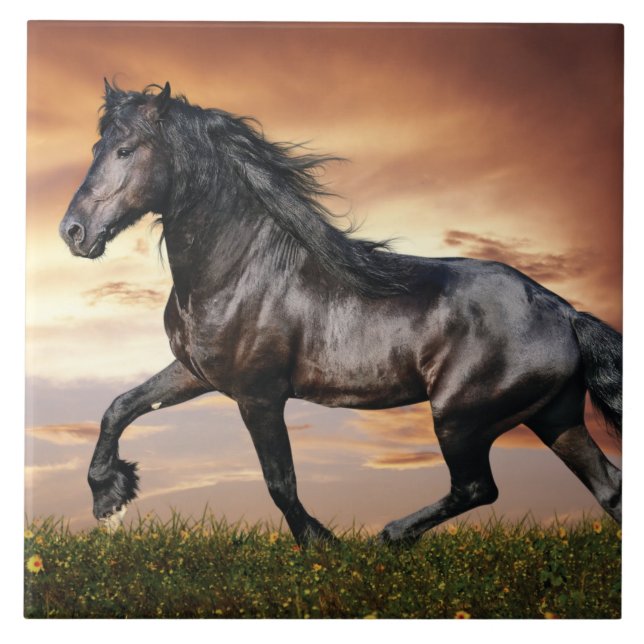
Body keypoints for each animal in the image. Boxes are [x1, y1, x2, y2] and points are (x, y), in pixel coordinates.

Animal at [59, 81, 622, 544]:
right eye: (96, 148)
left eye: (125, 149)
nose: (73, 232)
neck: (240, 269)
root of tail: (563, 311)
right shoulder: (196, 373)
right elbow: (120, 407)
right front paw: (109, 499)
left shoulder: (259, 396)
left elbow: (280, 482)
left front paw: (321, 544)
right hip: (554, 417)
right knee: (609, 489)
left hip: (461, 418)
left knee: (478, 488)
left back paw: (390, 536)